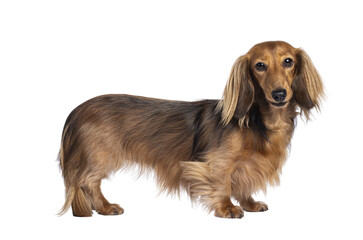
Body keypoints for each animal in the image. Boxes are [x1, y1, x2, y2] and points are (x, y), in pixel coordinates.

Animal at [58, 41, 326, 218]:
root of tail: (75, 111)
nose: (279, 94)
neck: (261, 121)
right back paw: (105, 207)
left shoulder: (249, 166)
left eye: (288, 61)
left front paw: (249, 204)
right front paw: (227, 208)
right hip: (100, 156)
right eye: (260, 66)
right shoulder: (217, 162)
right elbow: (222, 183)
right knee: (88, 182)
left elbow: (243, 185)